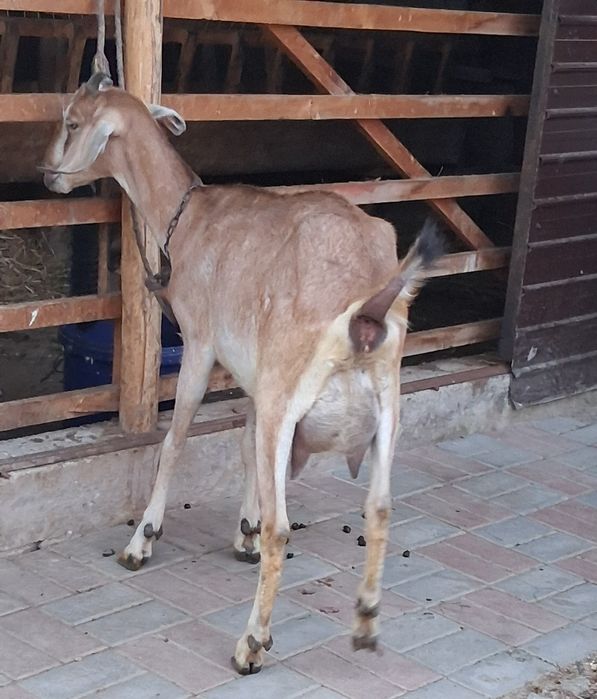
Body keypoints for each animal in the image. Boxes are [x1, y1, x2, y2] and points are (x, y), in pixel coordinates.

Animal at [41, 71, 442, 674]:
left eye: (71, 121)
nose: (47, 172)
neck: (187, 216)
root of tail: (366, 313)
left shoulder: (202, 343)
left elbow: (175, 441)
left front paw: (143, 539)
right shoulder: (255, 371)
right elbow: (247, 444)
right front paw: (243, 532)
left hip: (290, 396)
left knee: (285, 527)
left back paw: (251, 643)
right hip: (384, 406)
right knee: (378, 507)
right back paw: (366, 622)